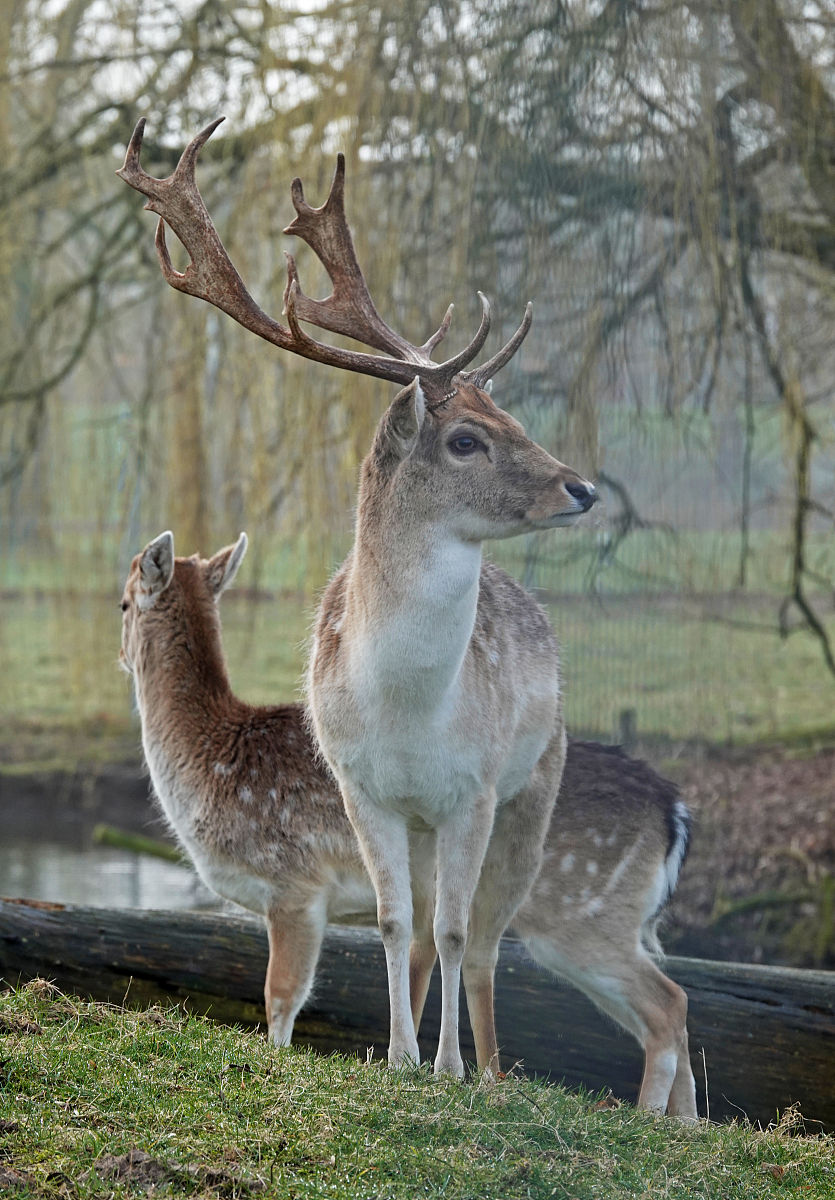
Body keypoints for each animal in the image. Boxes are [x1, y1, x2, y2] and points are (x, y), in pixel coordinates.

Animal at [120, 528, 697, 1118]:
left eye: (122, 603)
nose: (120, 656)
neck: (213, 768)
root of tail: (674, 811)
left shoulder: (294, 885)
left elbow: (280, 999)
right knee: (668, 1009)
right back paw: (685, 1123)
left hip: (584, 917)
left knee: (668, 1003)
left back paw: (651, 1115)